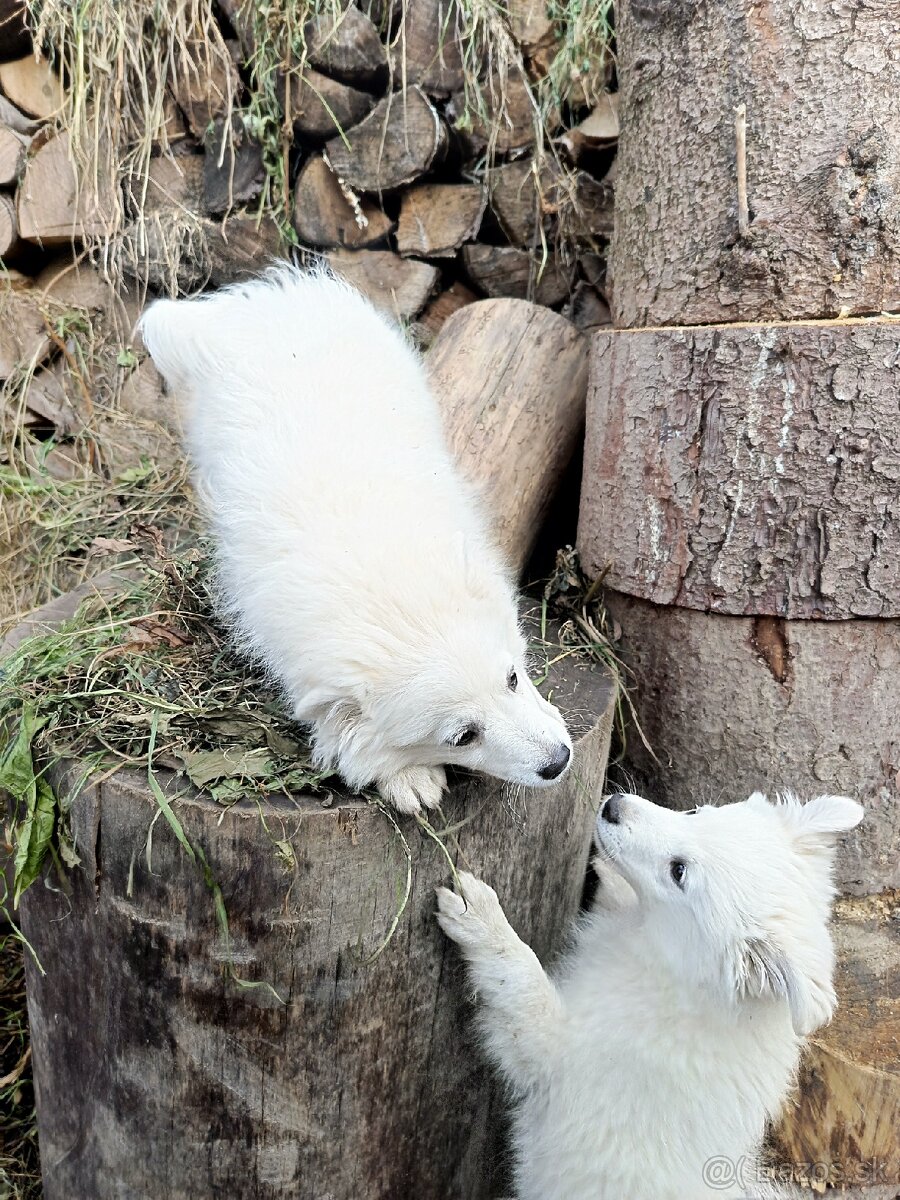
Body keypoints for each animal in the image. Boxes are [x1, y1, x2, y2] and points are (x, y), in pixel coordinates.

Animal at [140, 270, 571, 816]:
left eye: (512, 679)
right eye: (463, 736)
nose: (559, 761)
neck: (374, 575)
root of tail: (252, 305)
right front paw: (410, 778)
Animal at [441, 787, 864, 1200]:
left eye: (678, 872)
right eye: (695, 812)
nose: (613, 806)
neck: (676, 976)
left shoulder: (554, 1051)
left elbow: (520, 978)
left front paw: (478, 915)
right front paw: (608, 872)